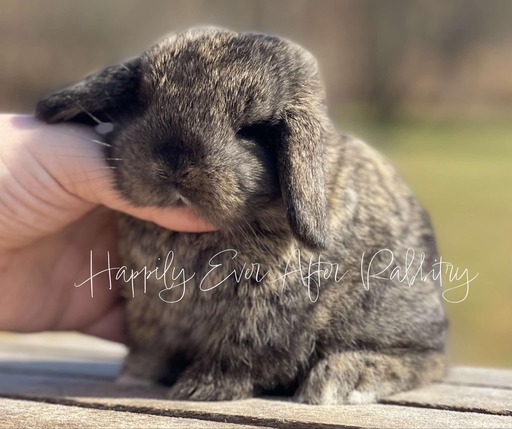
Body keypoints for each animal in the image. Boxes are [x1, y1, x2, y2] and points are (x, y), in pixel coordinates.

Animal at [35, 27, 448, 404]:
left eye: (253, 131)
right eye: (144, 101)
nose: (175, 164)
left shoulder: (262, 319)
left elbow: (241, 357)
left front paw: (200, 389)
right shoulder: (148, 312)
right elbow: (150, 350)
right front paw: (135, 377)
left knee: (426, 360)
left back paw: (337, 381)